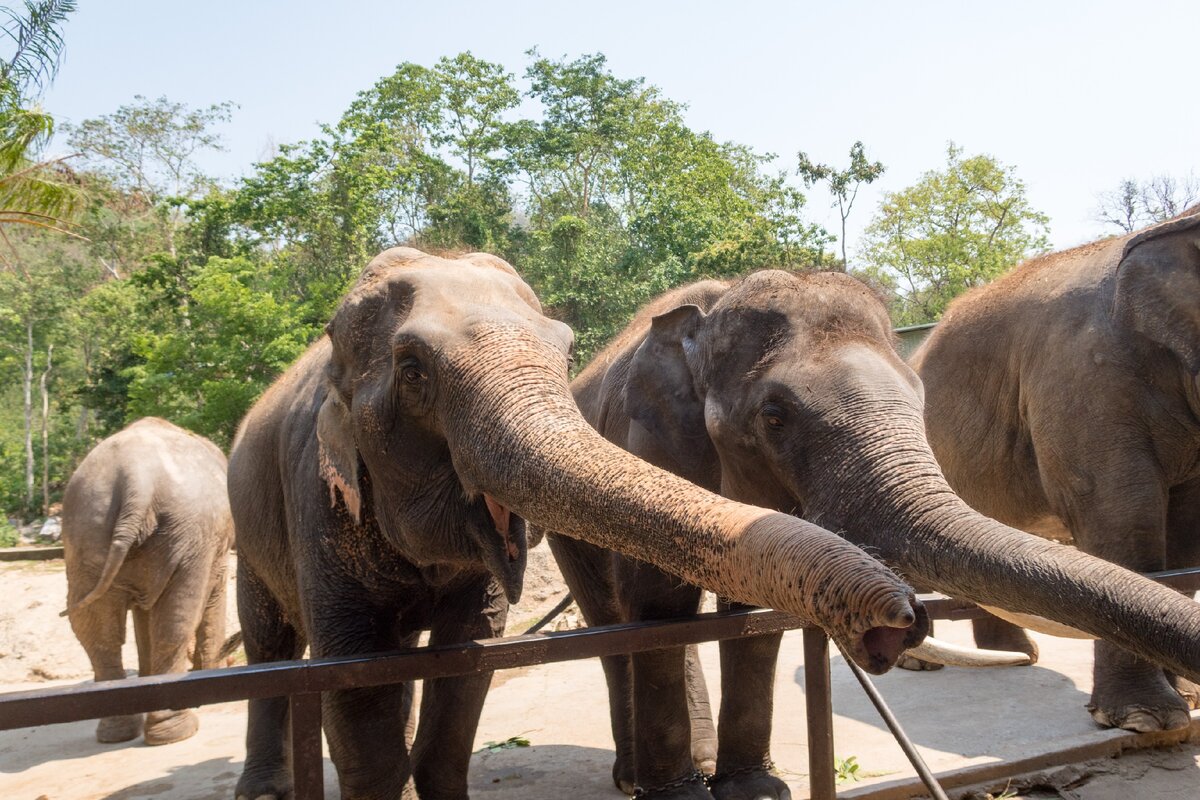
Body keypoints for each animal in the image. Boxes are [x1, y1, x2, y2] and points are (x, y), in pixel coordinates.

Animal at [62, 417, 235, 748]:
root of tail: (135, 478)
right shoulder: (214, 549)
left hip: (87, 533)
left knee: (96, 631)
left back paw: (119, 731)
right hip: (186, 536)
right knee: (176, 620)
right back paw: (177, 731)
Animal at [226, 245, 926, 800]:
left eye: (563, 355)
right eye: (413, 369)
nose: (899, 625)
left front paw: (754, 792)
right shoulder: (317, 499)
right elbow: (355, 673)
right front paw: (679, 797)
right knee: (270, 644)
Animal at [549, 268, 1200, 800]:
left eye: (920, 399)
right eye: (774, 416)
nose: (903, 620)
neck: (712, 309)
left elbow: (753, 615)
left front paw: (755, 793)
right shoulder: (646, 447)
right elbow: (657, 608)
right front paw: (681, 798)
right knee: (613, 617)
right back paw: (636, 779)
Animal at [907, 205, 1200, 734]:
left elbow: (1187, 528)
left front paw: (1187, 697)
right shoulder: (1085, 376)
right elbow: (1123, 513)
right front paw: (1144, 720)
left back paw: (1017, 658)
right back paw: (920, 662)